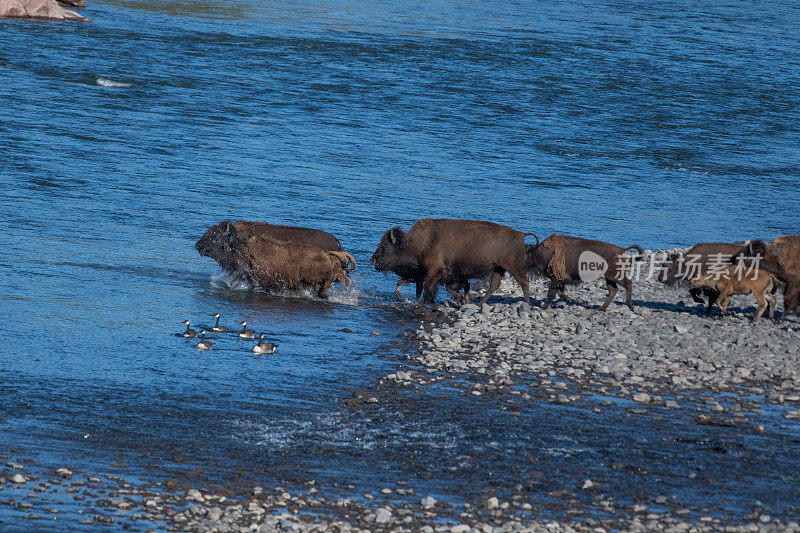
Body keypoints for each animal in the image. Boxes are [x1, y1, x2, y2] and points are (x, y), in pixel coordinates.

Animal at [370, 218, 536, 306]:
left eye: (385, 246)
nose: (372, 260)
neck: (421, 243)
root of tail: (520, 234)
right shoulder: (427, 275)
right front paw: (462, 299)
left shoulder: (433, 275)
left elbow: (429, 290)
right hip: (498, 267)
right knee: (495, 284)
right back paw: (479, 303)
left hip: (513, 266)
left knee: (524, 280)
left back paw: (526, 303)